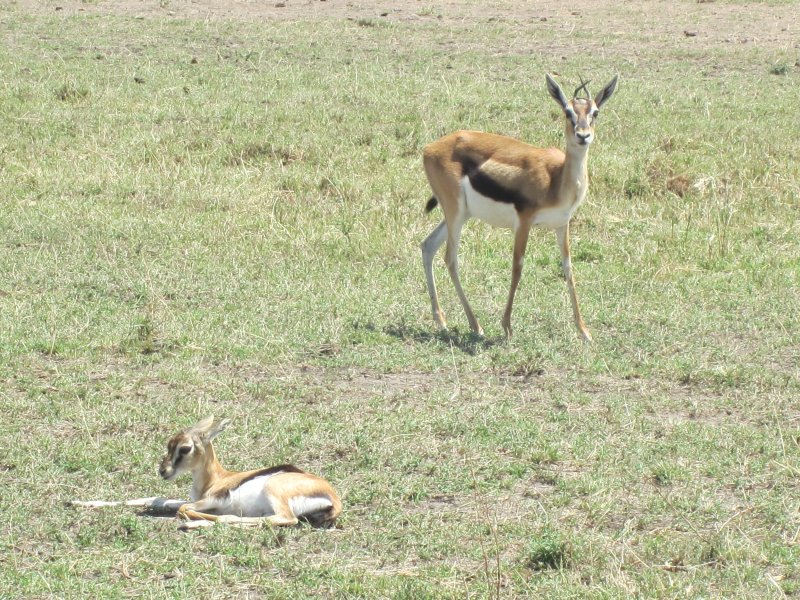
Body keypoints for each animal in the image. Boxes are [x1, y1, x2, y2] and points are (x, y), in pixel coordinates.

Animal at [421, 73, 618, 342]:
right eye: (568, 111)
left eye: (595, 112)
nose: (583, 135)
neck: (557, 178)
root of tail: (429, 148)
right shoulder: (524, 222)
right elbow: (517, 267)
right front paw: (506, 326)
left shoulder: (562, 224)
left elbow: (568, 269)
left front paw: (584, 331)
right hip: (456, 212)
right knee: (450, 258)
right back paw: (476, 326)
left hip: (460, 214)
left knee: (428, 246)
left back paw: (441, 320)